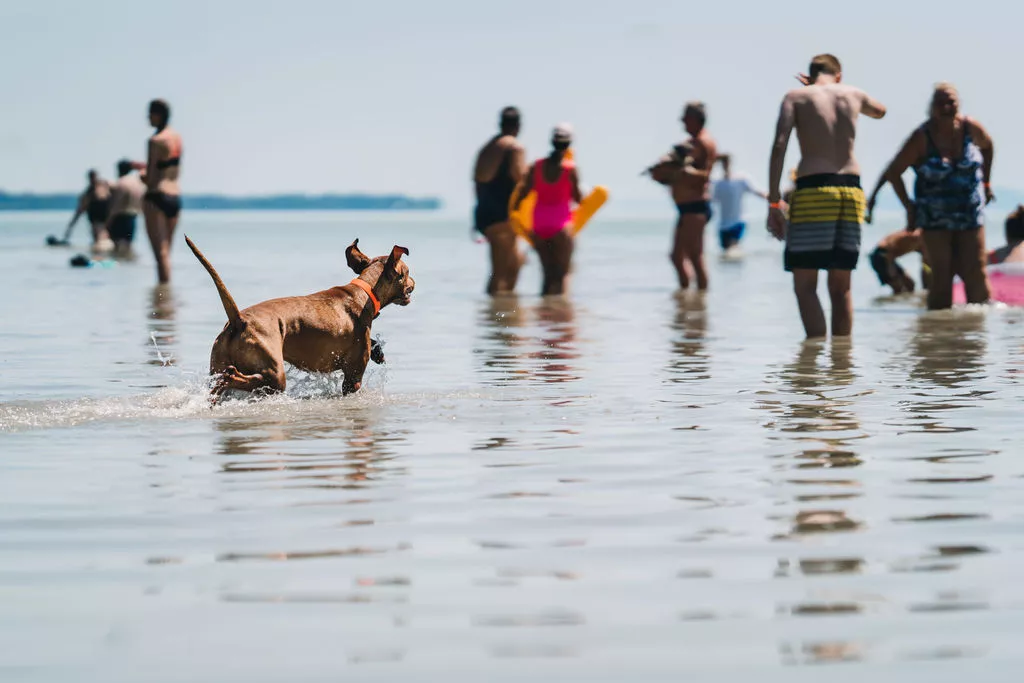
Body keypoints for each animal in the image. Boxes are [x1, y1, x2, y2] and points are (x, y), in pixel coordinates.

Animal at [184, 236, 411, 397]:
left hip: (218, 362)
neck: (362, 293)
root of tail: (239, 320)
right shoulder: (352, 379)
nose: (413, 282)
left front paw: (378, 352)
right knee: (238, 378)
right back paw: (228, 381)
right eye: (407, 272)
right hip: (274, 375)